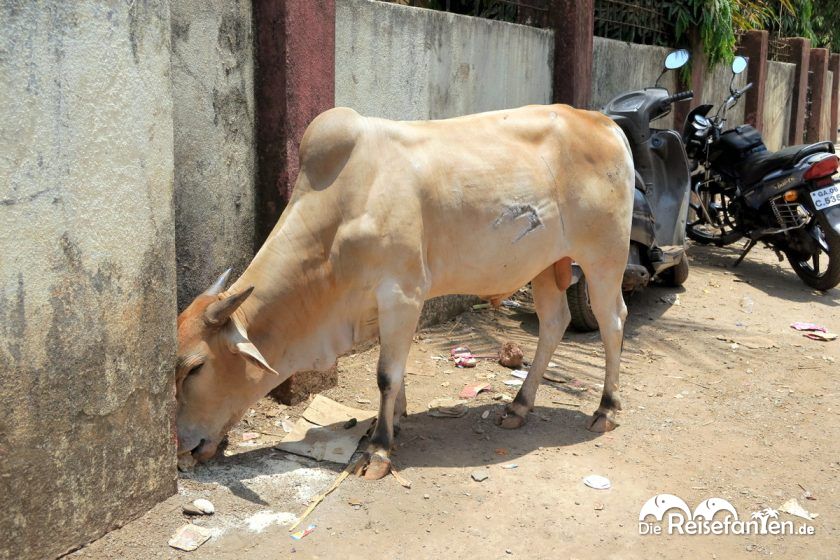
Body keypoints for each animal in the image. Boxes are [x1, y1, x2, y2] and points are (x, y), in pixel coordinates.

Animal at [179, 104, 636, 476]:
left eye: (196, 367)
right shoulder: (385, 303)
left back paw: (606, 408)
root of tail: (605, 123)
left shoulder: (402, 293)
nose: (181, 447)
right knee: (554, 322)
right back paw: (519, 406)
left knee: (613, 321)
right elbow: (393, 371)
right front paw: (393, 422)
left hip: (604, 256)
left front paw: (379, 449)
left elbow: (387, 373)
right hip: (544, 265)